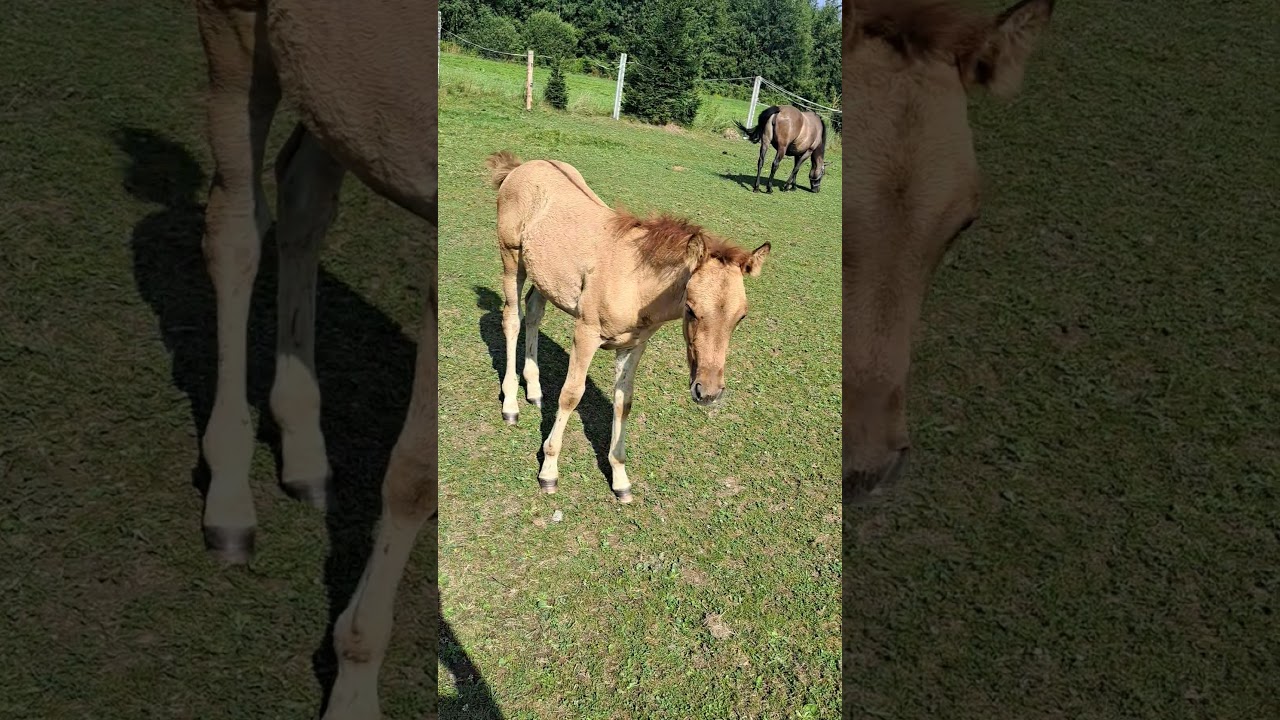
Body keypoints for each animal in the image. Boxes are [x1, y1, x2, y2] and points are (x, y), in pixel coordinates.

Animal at [193, 1, 436, 718]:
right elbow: (416, 474)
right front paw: (353, 690)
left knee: (303, 194)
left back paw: (303, 452)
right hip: (233, 37)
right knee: (235, 228)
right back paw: (228, 498)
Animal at [486, 151, 771, 503]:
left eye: (740, 317)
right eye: (691, 310)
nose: (708, 392)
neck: (635, 282)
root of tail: (521, 167)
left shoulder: (633, 345)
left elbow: (624, 401)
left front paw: (620, 479)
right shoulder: (586, 333)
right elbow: (571, 394)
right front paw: (549, 471)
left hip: (545, 277)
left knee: (534, 311)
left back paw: (535, 390)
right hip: (511, 259)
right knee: (512, 317)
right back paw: (511, 403)